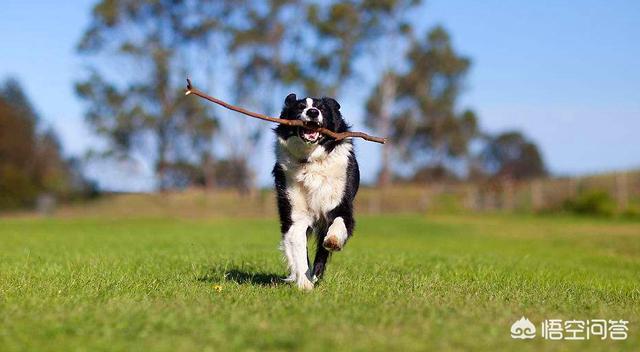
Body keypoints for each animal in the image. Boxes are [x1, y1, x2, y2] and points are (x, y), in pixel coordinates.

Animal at [272, 92, 358, 290]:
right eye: (300, 107)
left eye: (322, 108)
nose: (312, 112)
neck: (311, 160)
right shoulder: (295, 214)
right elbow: (298, 247)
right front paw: (304, 283)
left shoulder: (341, 204)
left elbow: (339, 222)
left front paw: (333, 240)